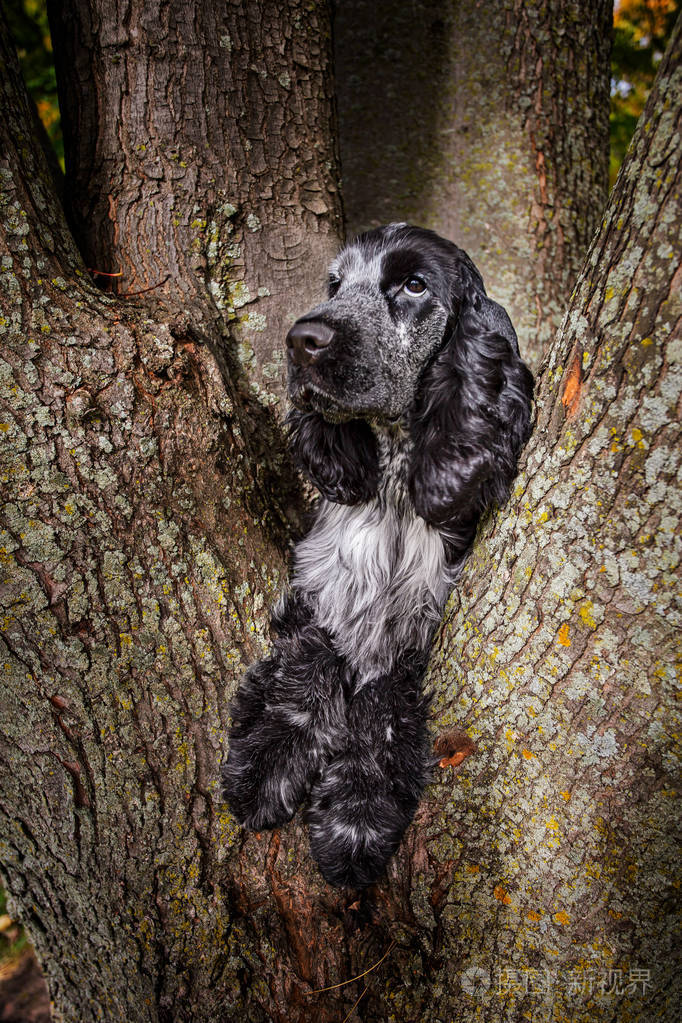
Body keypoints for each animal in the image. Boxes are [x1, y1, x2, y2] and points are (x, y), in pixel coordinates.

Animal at [221, 224, 535, 887]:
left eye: (413, 285)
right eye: (335, 285)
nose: (302, 340)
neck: (392, 484)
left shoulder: (421, 628)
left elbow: (381, 705)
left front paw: (355, 821)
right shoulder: (314, 583)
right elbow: (309, 660)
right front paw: (265, 765)